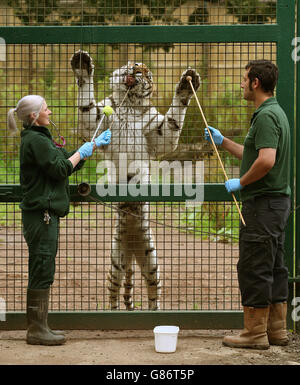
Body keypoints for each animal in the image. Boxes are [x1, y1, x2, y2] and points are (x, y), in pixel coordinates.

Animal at [70, 50, 200, 308]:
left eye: (147, 73)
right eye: (135, 64)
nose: (137, 71)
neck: (129, 104)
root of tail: (130, 248)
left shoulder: (160, 133)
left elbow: (173, 120)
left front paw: (185, 87)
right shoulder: (95, 119)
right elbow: (86, 105)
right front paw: (82, 66)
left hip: (151, 261)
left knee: (153, 294)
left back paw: (154, 312)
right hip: (115, 261)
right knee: (113, 295)